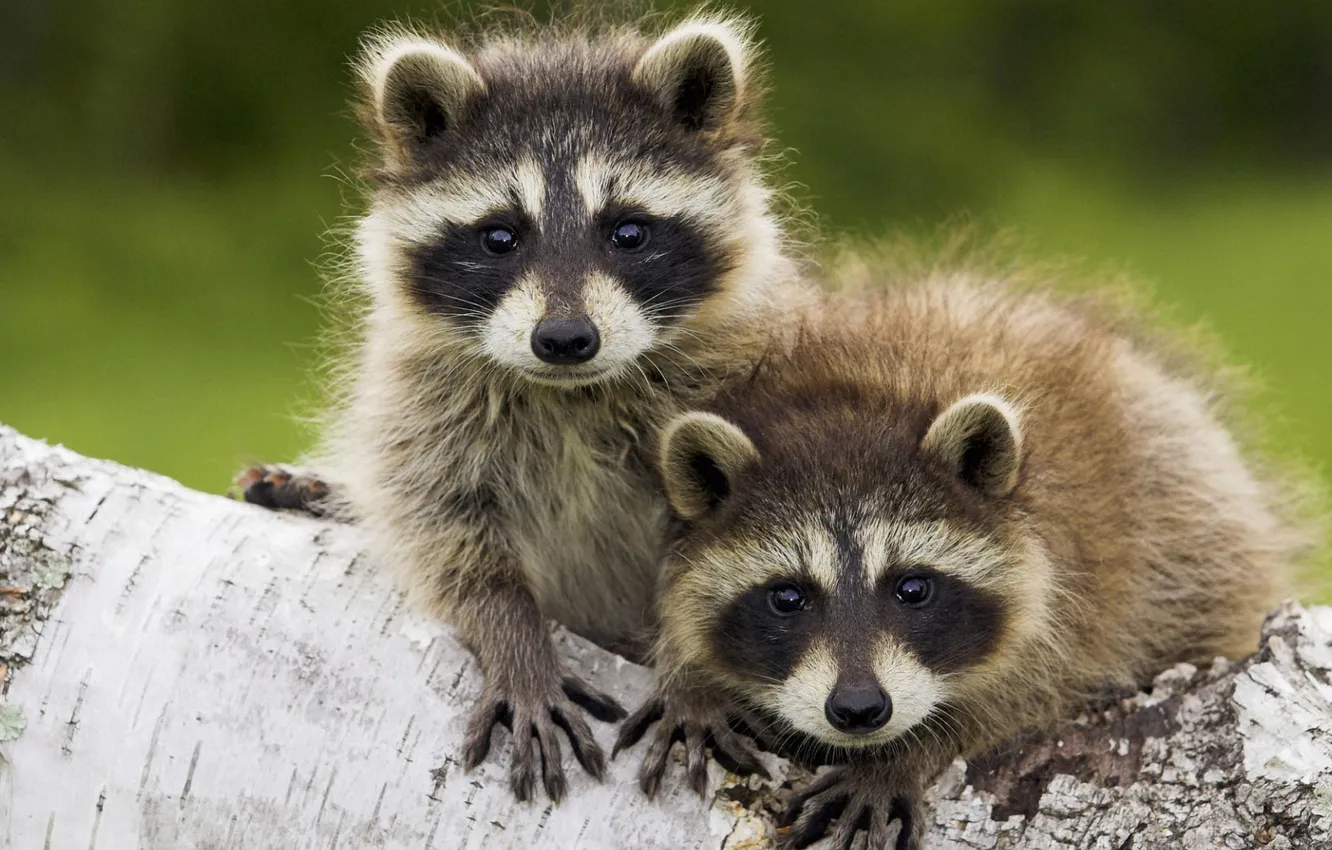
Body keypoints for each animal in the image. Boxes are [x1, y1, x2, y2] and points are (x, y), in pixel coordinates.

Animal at [239, 12, 814, 802]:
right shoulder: (422, 398)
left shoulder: (746, 381)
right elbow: (444, 529)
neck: (570, 392)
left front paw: (694, 675)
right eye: (500, 236)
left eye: (628, 232)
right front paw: (513, 637)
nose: (565, 338)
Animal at [616, 275, 1311, 848]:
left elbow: (1030, 688)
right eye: (788, 597)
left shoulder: (1082, 581)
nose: (860, 710)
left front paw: (908, 752)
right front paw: (691, 679)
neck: (855, 396)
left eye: (912, 589)